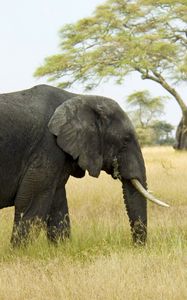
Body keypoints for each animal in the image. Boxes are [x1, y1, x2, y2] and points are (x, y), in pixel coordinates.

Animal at [0, 84, 168, 246]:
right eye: (125, 140)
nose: (136, 246)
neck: (80, 98)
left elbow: (57, 205)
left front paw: (60, 248)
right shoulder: (47, 147)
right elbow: (30, 203)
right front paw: (20, 251)